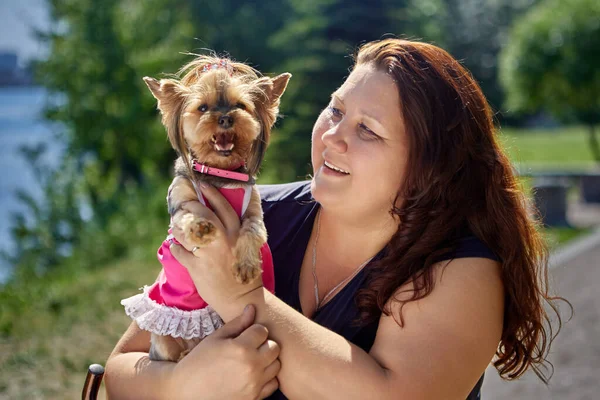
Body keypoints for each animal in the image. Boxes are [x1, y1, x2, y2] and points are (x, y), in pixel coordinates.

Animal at [120, 54, 290, 360]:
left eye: (240, 106)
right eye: (203, 108)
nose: (225, 117)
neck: (220, 173)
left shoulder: (254, 211)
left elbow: (253, 231)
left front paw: (247, 265)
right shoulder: (179, 202)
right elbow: (185, 216)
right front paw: (201, 228)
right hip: (162, 341)